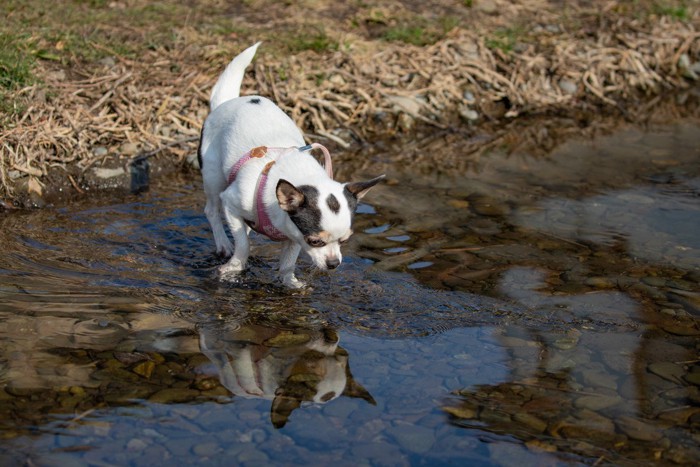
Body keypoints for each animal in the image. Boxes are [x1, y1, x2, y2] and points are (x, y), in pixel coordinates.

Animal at [197, 43, 386, 288]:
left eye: (344, 240)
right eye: (315, 241)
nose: (334, 264)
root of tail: (226, 102)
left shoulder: (293, 233)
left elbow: (288, 261)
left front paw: (290, 283)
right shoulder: (231, 201)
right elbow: (243, 246)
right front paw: (234, 267)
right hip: (213, 177)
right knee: (212, 210)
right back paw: (223, 244)